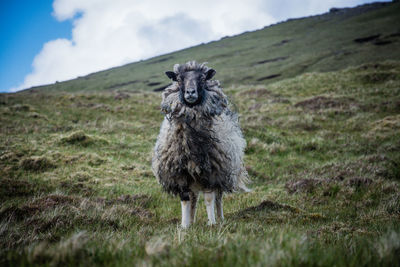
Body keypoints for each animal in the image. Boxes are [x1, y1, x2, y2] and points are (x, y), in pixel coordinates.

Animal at [152, 60, 248, 228]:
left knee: (218, 197)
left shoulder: (211, 172)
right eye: (179, 79)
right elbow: (185, 200)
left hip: (223, 171)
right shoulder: (180, 173)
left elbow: (209, 198)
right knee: (194, 199)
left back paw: (220, 218)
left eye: (202, 79)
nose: (190, 92)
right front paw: (184, 226)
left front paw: (211, 223)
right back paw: (192, 220)